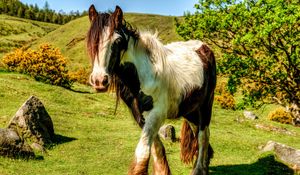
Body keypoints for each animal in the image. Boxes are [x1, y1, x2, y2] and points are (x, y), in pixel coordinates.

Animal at [86, 4, 216, 174]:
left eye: (118, 40)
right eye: (91, 39)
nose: (99, 80)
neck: (144, 74)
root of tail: (204, 47)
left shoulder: (156, 114)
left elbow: (142, 153)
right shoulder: (140, 116)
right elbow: (156, 149)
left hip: (205, 105)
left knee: (203, 136)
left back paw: (199, 169)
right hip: (191, 110)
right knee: (198, 133)